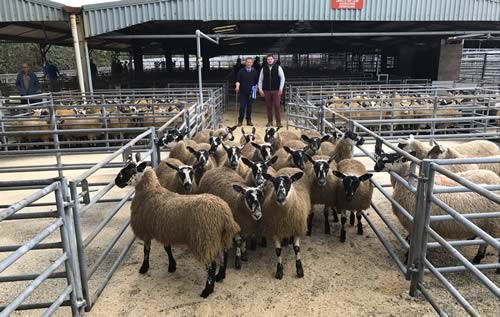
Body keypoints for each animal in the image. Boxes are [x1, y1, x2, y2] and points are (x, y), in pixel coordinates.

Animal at [116, 155, 241, 296]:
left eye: (131, 169)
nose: (116, 181)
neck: (149, 190)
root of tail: (225, 214)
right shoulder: (164, 229)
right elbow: (167, 248)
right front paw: (172, 266)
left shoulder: (146, 229)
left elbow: (146, 250)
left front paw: (144, 267)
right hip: (218, 237)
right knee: (224, 255)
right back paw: (220, 275)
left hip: (204, 239)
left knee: (212, 264)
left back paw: (207, 290)